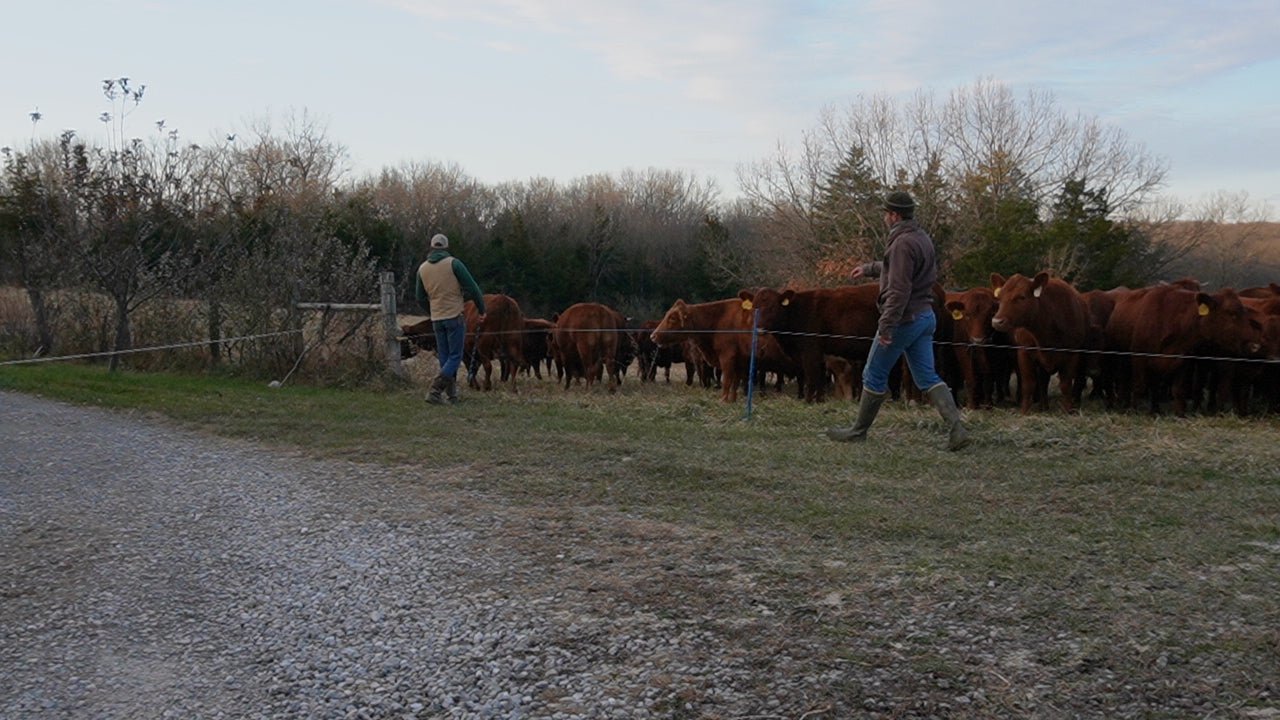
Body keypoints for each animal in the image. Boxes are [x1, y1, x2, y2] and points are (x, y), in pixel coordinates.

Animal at [988, 271, 1090, 412]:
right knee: (1042, 382)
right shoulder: (1024, 352)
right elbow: (1028, 384)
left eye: (1021, 297)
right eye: (999, 298)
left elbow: (1065, 384)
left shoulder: (1072, 354)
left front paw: (1068, 410)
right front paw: (1024, 412)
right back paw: (1044, 406)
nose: (997, 321)